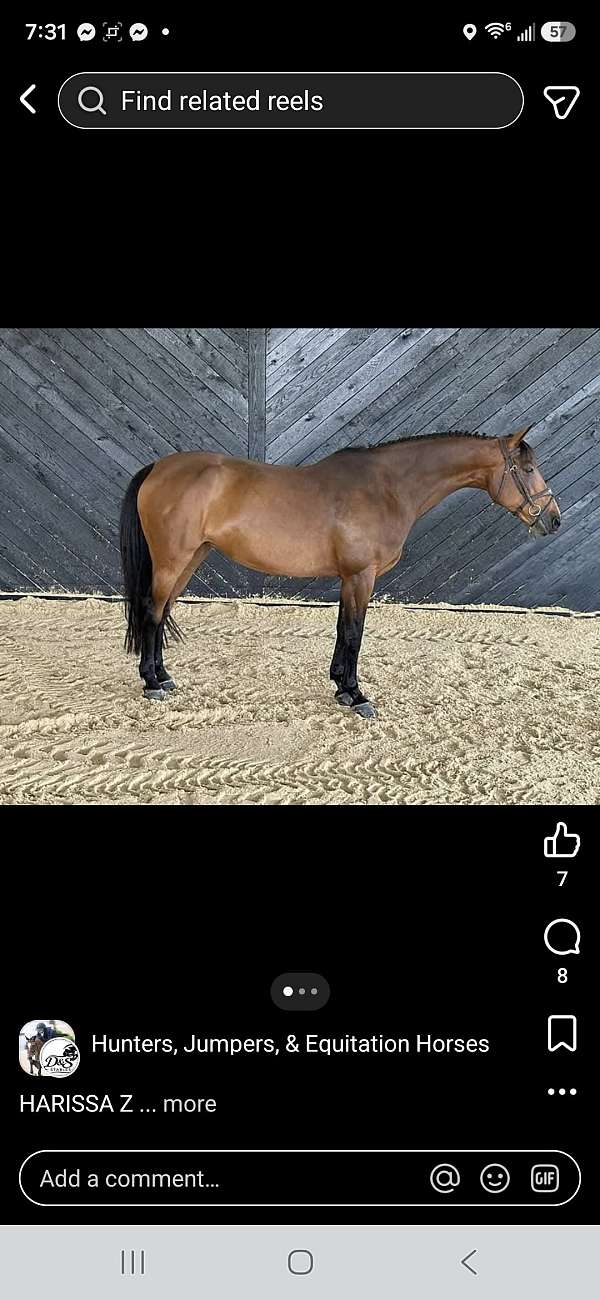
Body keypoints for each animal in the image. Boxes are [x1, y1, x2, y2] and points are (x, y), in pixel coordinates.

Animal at [119, 426, 560, 718]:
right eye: (528, 469)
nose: (553, 520)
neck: (387, 487)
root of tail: (158, 468)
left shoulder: (350, 577)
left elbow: (342, 629)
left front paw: (340, 687)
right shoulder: (362, 575)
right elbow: (354, 632)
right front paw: (356, 695)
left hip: (192, 558)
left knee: (162, 611)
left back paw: (164, 676)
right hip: (173, 559)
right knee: (152, 611)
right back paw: (152, 682)